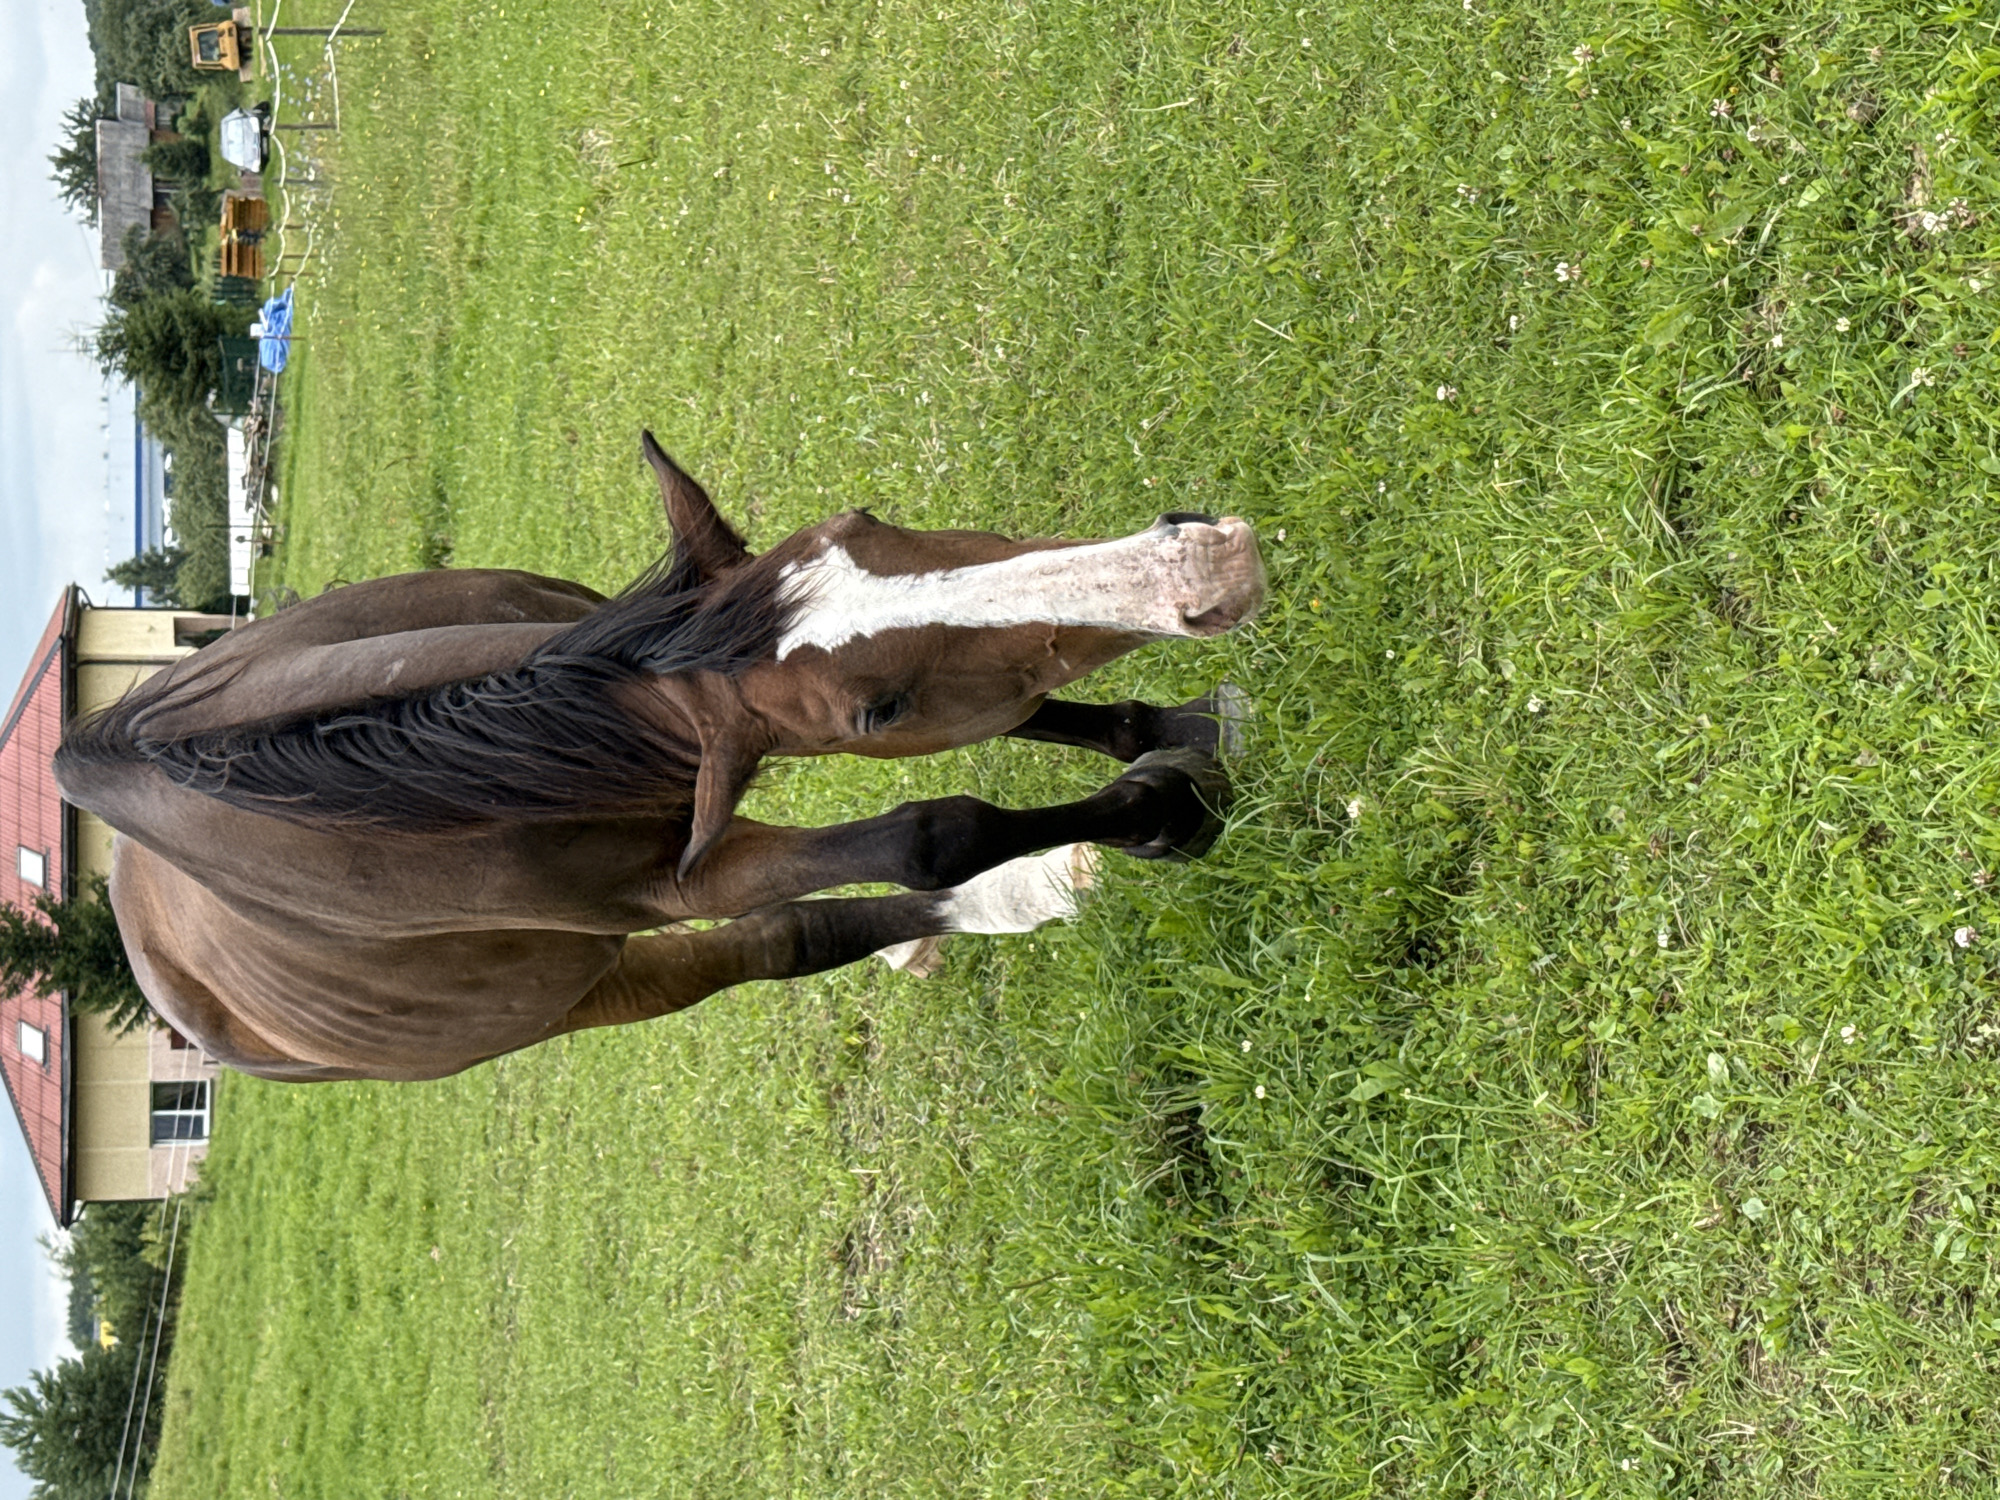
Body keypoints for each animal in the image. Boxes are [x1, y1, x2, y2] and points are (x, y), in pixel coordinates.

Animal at [53, 434, 1265, 1081]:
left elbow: (1027, 710)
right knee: (787, 940)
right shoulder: (683, 876)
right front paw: (1164, 810)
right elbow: (931, 834)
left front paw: (1186, 731)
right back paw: (1028, 889)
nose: (1199, 566)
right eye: (873, 708)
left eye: (863, 520)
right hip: (592, 987)